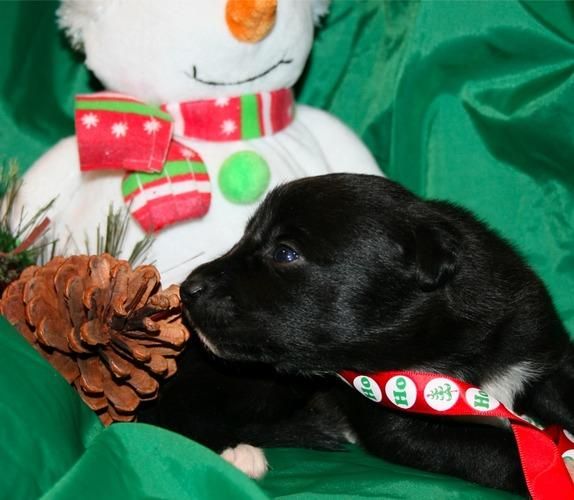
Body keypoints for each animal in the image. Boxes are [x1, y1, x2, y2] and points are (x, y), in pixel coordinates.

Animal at [144, 173, 574, 493]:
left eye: (285, 253)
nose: (188, 290)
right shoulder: (401, 419)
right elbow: (495, 450)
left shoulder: (540, 349)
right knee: (178, 414)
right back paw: (240, 452)